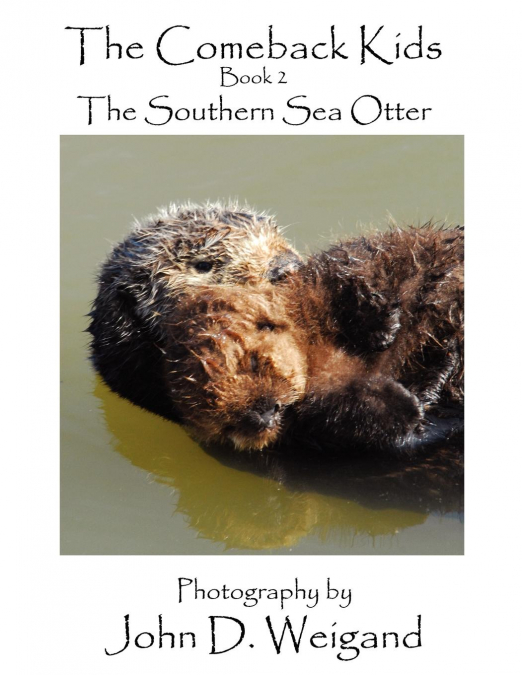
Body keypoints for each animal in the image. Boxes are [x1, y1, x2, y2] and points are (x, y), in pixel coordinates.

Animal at [163, 225, 463, 453]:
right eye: (228, 424)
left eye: (253, 364)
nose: (263, 416)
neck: (313, 344)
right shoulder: (317, 413)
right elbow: (355, 415)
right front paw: (411, 404)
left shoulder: (323, 281)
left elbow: (352, 274)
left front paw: (384, 329)